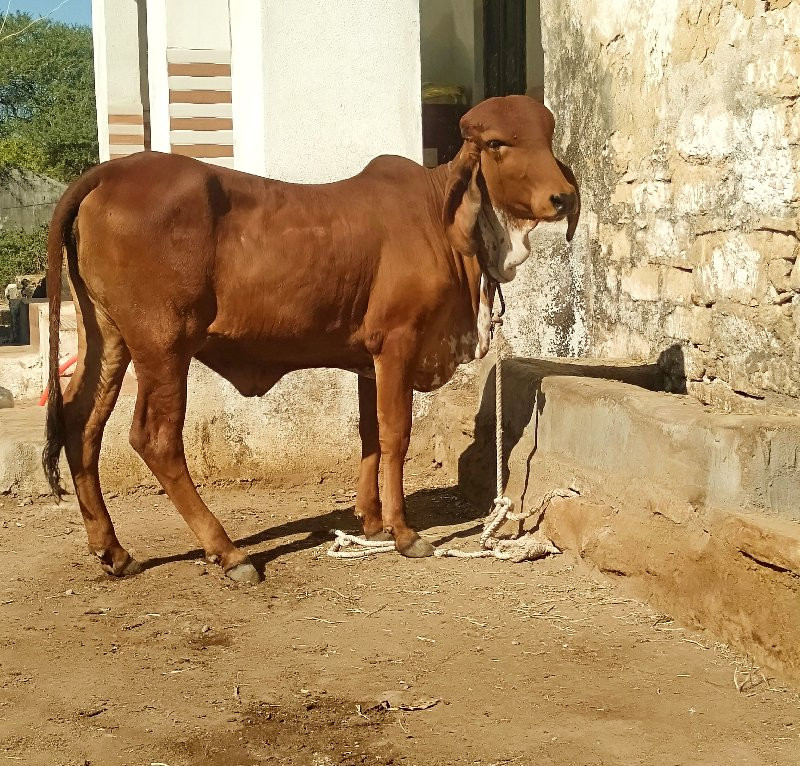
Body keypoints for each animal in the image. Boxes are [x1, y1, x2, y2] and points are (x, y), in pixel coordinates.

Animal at [40, 99, 580, 584]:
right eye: (496, 144)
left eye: (547, 137)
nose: (561, 197)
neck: (440, 221)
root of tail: (108, 173)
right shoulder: (398, 344)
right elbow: (395, 434)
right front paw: (404, 533)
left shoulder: (369, 358)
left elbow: (369, 435)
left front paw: (373, 524)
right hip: (163, 344)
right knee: (155, 439)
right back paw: (228, 552)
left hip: (106, 334)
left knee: (80, 423)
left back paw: (112, 549)